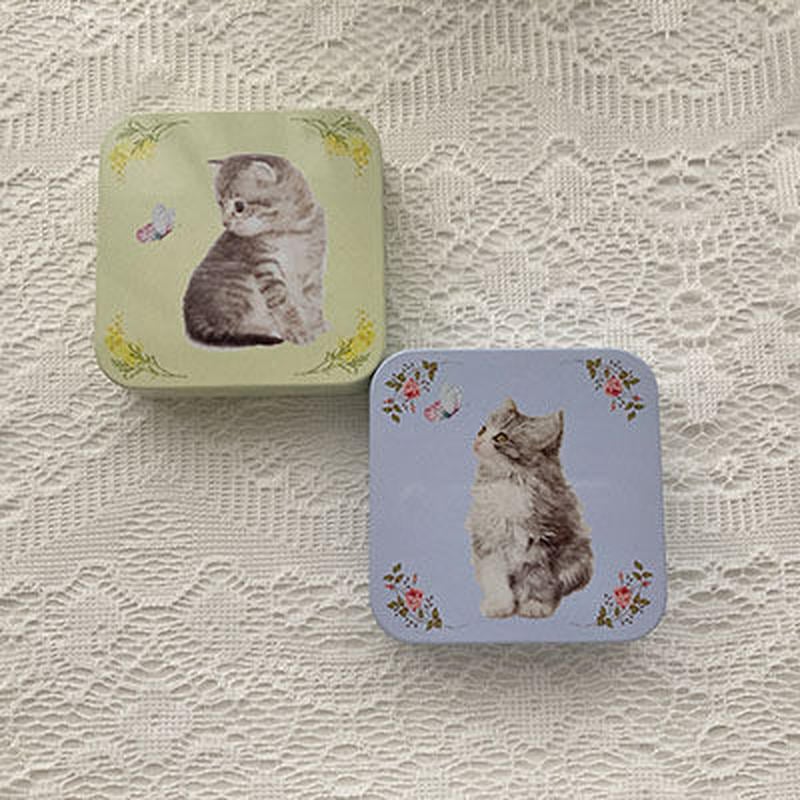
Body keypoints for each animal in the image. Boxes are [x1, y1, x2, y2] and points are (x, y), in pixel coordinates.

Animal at [183, 153, 327, 347]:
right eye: (220, 204)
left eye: (239, 206)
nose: (225, 223)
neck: (290, 230)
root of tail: (190, 314)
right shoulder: (265, 265)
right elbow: (282, 302)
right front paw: (297, 330)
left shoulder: (313, 265)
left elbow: (313, 298)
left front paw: (316, 324)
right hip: (240, 285)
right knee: (229, 328)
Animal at [465, 398, 593, 619]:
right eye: (483, 429)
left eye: (501, 437)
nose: (478, 440)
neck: (506, 482)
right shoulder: (489, 541)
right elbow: (494, 577)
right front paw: (499, 605)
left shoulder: (542, 541)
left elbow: (537, 577)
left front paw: (535, 604)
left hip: (579, 557)